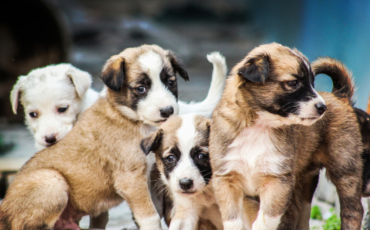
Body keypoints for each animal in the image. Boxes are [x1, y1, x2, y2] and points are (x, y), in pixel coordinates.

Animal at [0, 45, 225, 230]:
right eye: (141, 88)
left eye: (170, 83)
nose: (168, 111)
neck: (129, 118)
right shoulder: (131, 179)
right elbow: (150, 217)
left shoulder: (149, 176)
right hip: (52, 181)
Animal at [210, 43, 362, 230]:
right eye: (293, 83)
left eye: (312, 83)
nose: (322, 107)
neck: (258, 126)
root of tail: (339, 95)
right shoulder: (226, 179)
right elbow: (233, 220)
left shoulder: (277, 180)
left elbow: (265, 220)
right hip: (305, 181)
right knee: (302, 214)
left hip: (345, 168)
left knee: (353, 210)